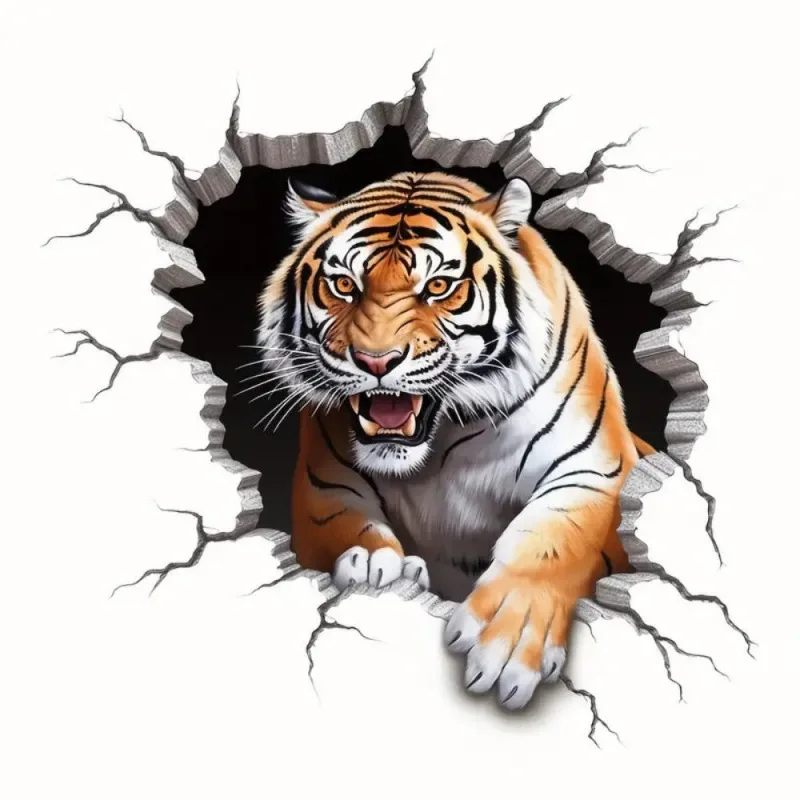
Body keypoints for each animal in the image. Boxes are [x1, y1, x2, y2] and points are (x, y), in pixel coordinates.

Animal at [256, 170, 654, 711]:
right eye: (344, 285)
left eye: (439, 287)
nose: (375, 361)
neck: (444, 439)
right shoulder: (326, 481)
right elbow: (347, 525)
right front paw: (374, 563)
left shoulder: (594, 468)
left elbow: (552, 541)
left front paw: (508, 640)